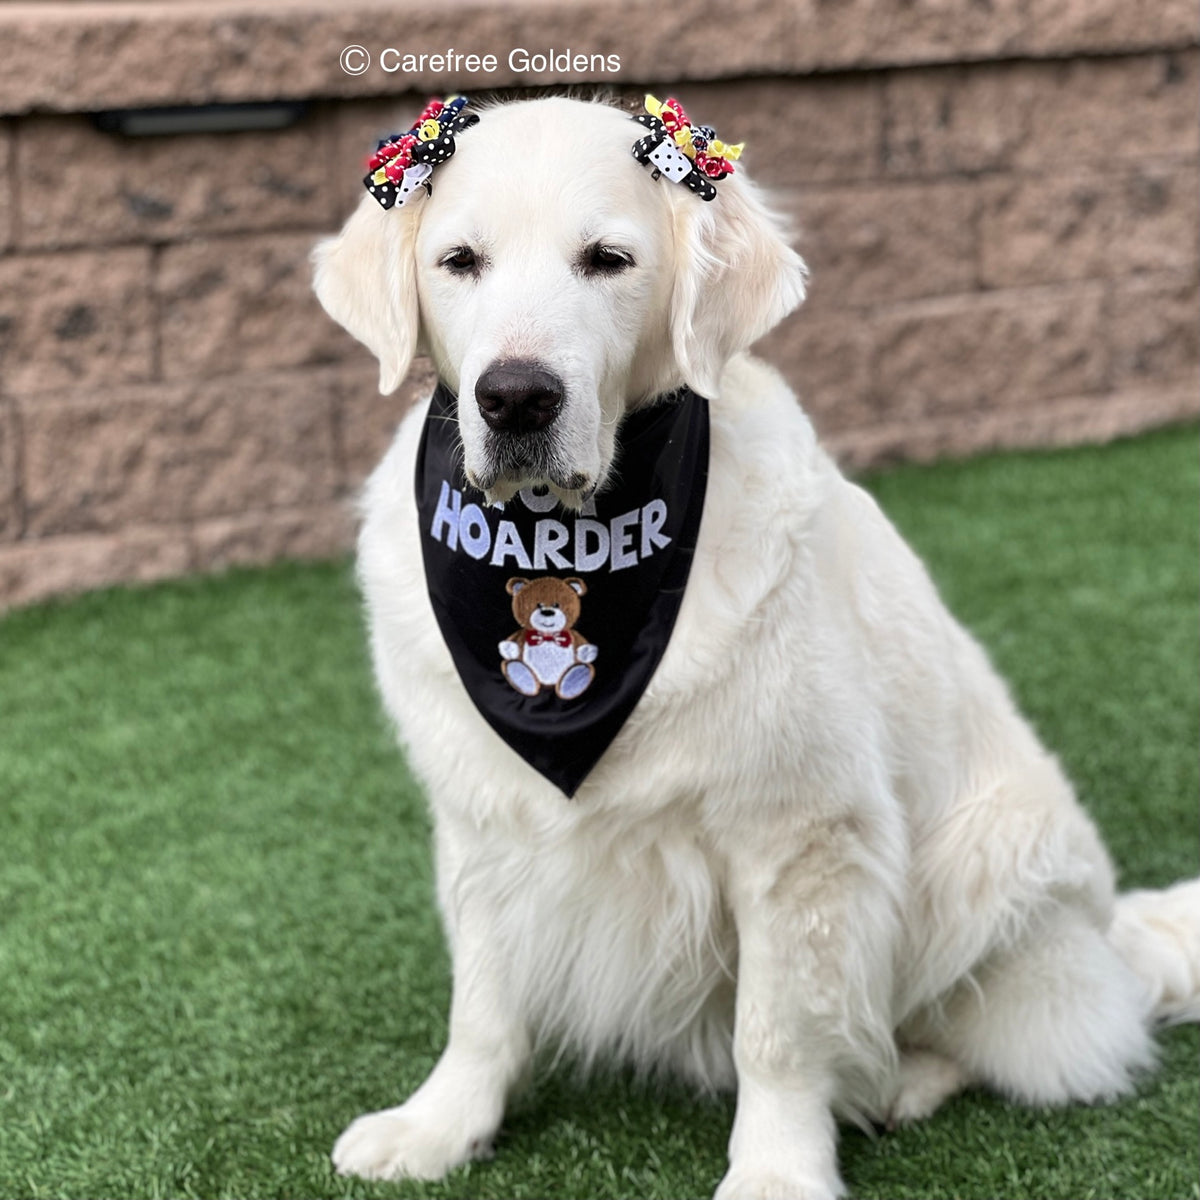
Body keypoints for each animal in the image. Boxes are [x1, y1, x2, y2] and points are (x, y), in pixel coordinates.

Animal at [312, 96, 1200, 1200]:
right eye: (459, 261)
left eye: (608, 259)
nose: (516, 396)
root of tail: (1115, 937)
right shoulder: (484, 821)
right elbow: (481, 1002)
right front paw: (440, 1125)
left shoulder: (800, 835)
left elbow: (777, 1032)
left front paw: (778, 1171)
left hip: (988, 875)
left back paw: (900, 1083)